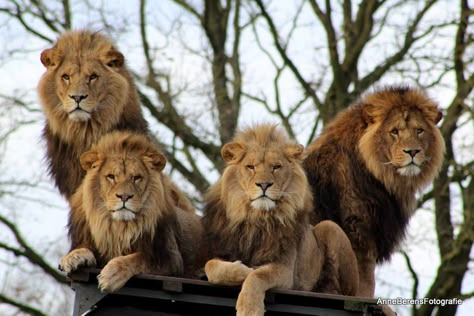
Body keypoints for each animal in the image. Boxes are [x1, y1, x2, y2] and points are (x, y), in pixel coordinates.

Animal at [58, 131, 204, 294]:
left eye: (136, 178)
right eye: (111, 176)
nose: (124, 196)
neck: (119, 228)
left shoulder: (171, 258)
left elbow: (138, 258)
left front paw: (112, 275)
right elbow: (84, 248)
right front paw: (72, 257)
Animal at [202, 124, 358, 316]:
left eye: (276, 167)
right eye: (250, 167)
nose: (263, 184)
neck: (258, 218)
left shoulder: (285, 270)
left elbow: (257, 275)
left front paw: (249, 308)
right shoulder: (222, 253)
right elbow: (211, 266)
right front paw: (242, 270)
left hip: (330, 228)